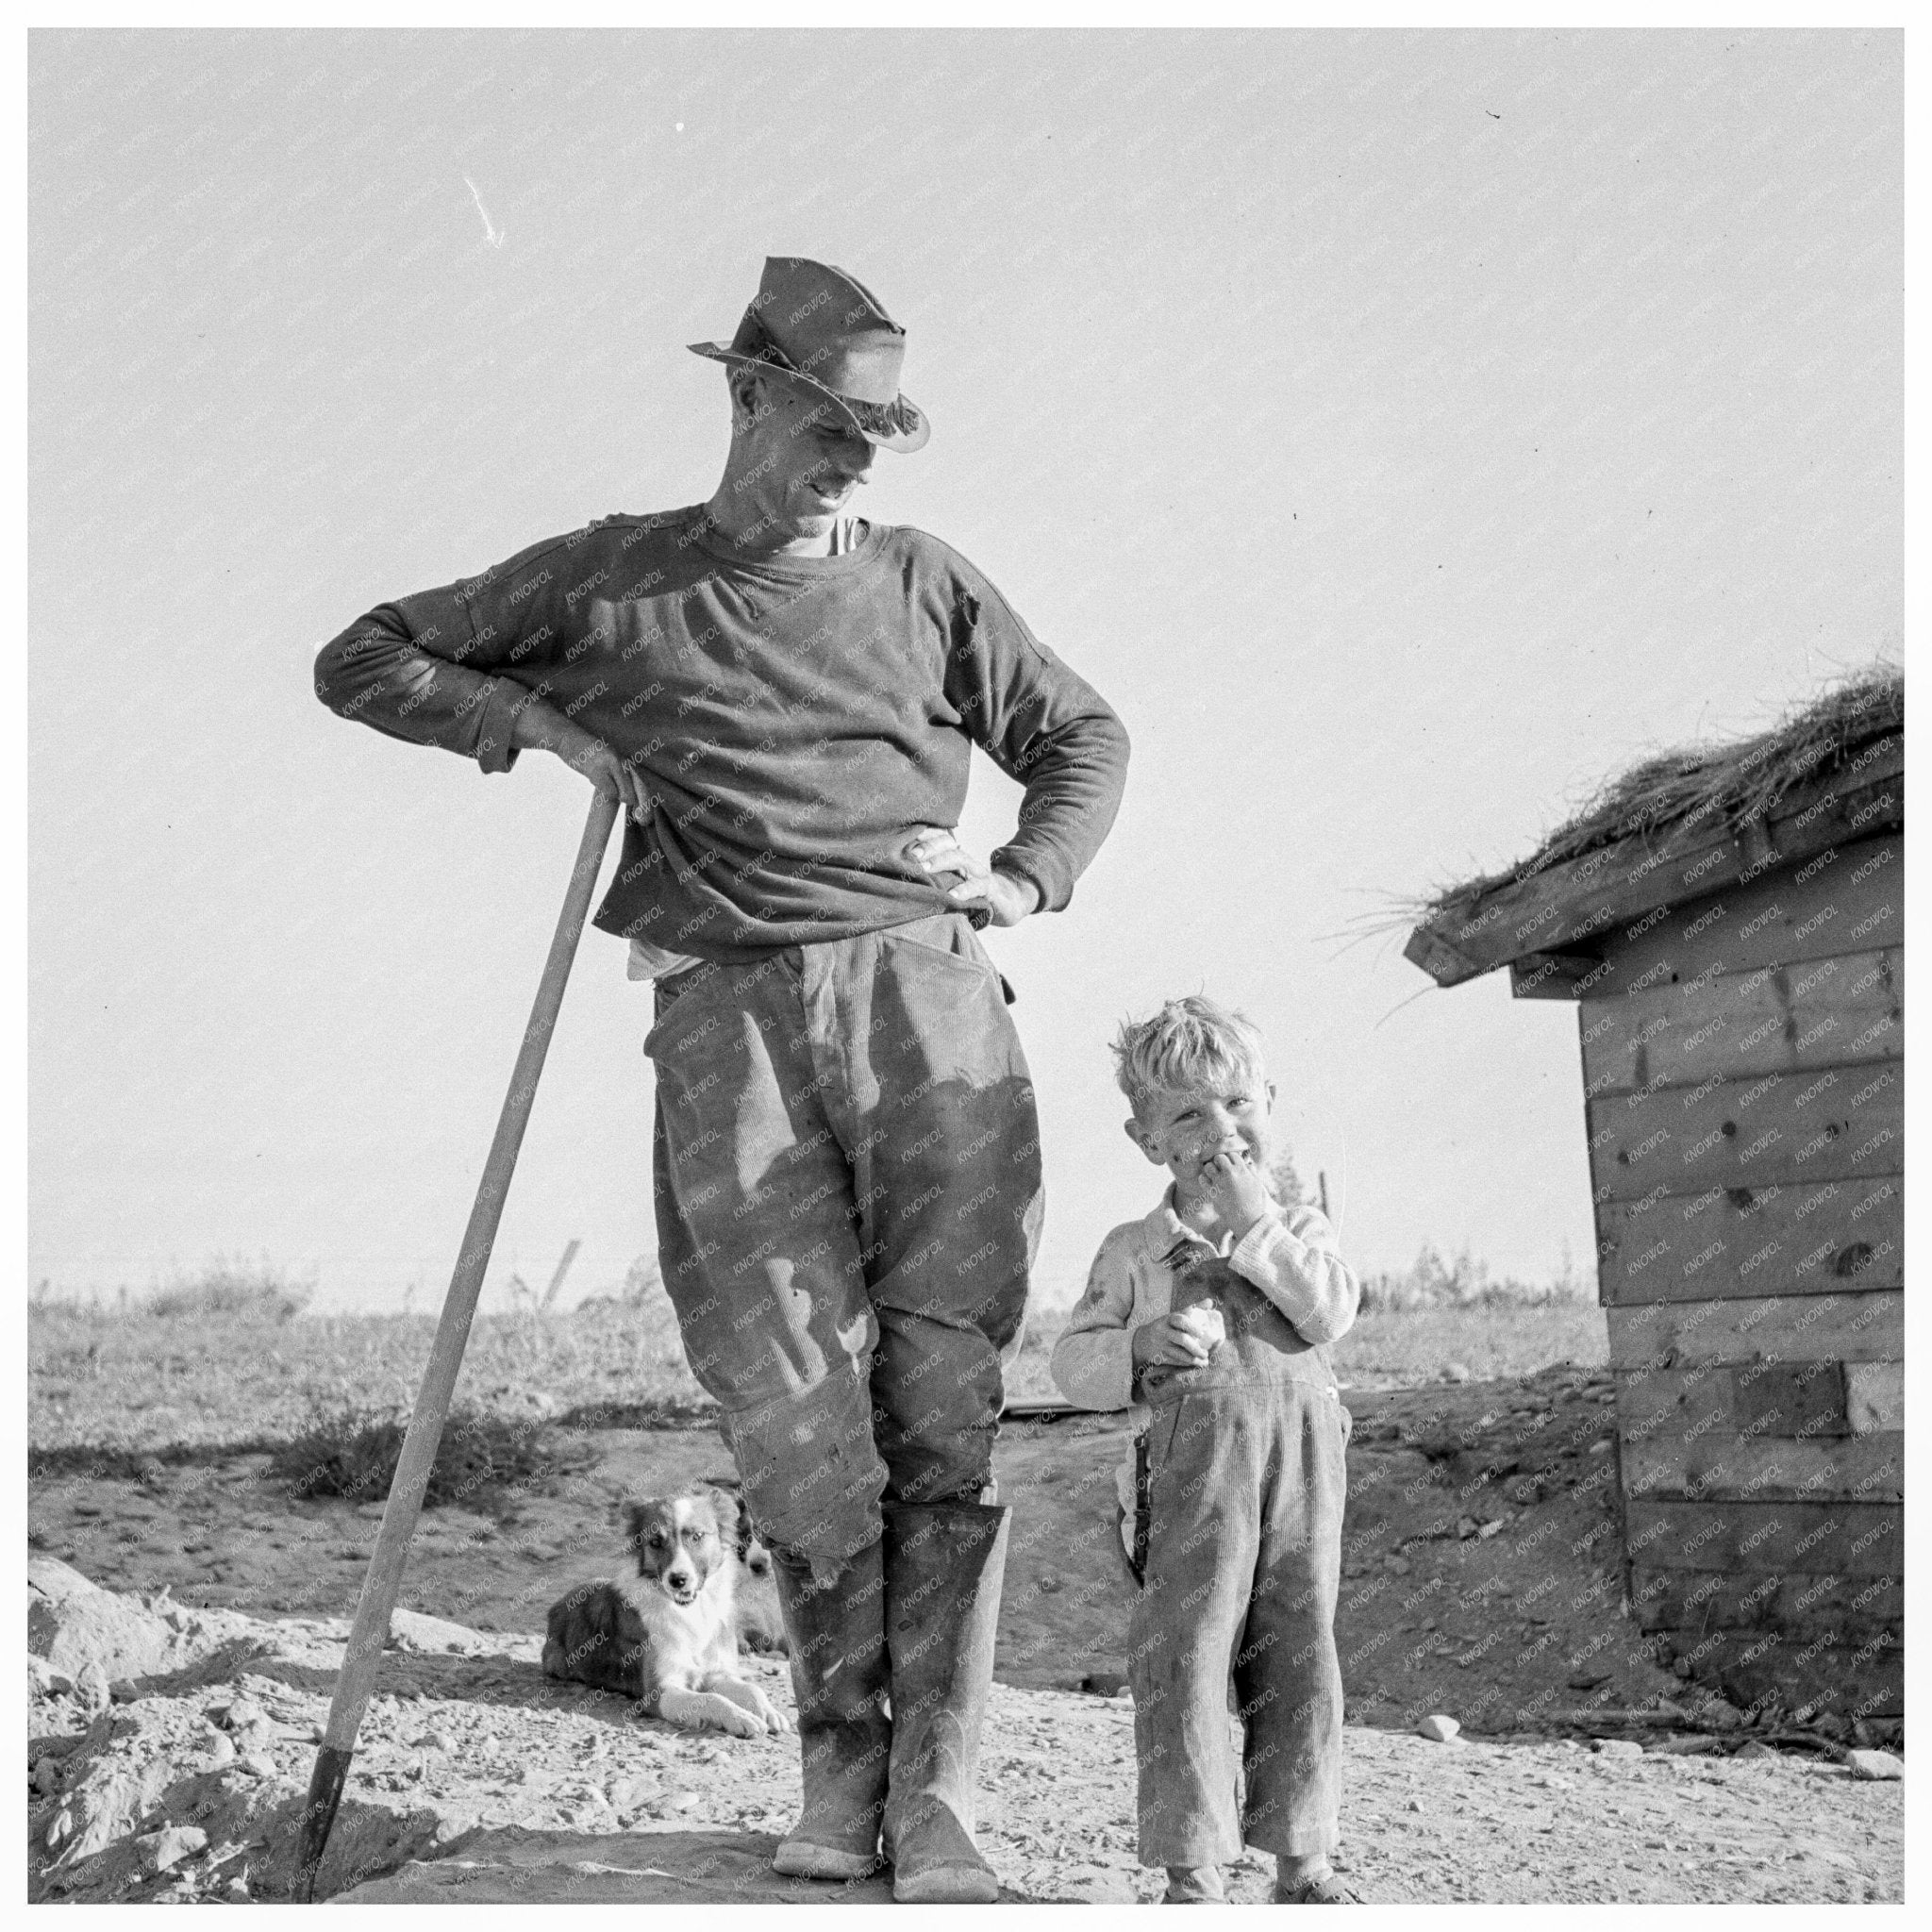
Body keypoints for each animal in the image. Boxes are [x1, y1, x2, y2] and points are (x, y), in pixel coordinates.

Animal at [537, 1483, 791, 1746]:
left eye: (696, 1536)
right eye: (656, 1542)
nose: (678, 1579)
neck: (691, 1614)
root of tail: (554, 1610)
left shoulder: (714, 1673)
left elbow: (752, 1689)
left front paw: (769, 1712)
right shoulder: (660, 1692)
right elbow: (711, 1699)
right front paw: (740, 1717)